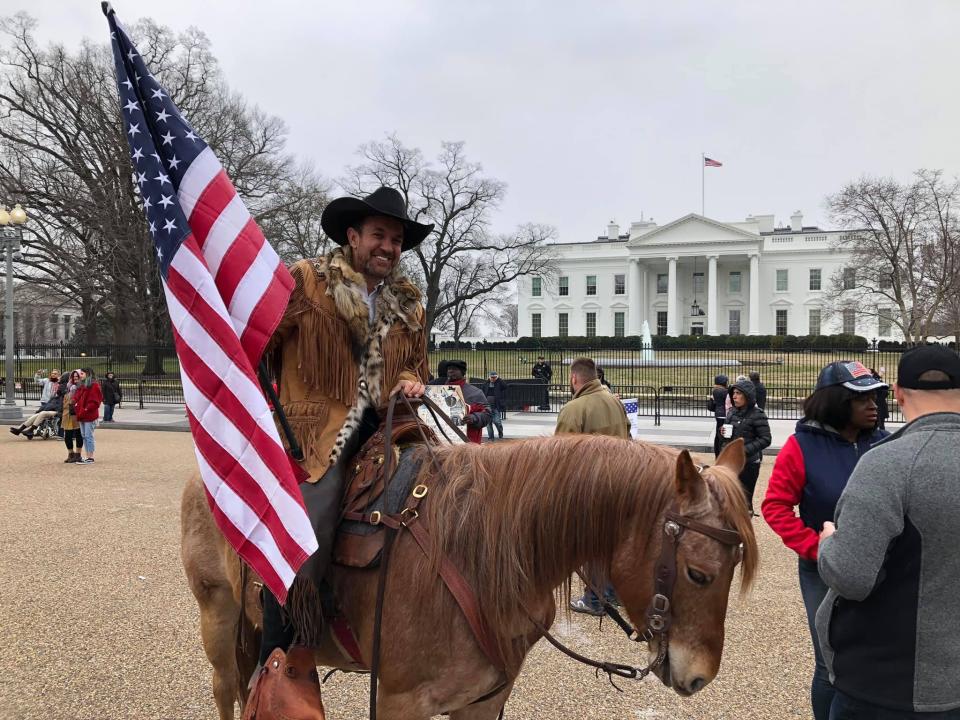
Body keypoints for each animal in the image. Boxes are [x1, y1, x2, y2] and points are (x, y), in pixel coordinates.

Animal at [182, 434, 756, 720]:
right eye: (698, 573)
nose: (701, 677)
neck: (475, 555)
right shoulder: (399, 703)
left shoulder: (483, 702)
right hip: (217, 616)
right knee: (225, 688)